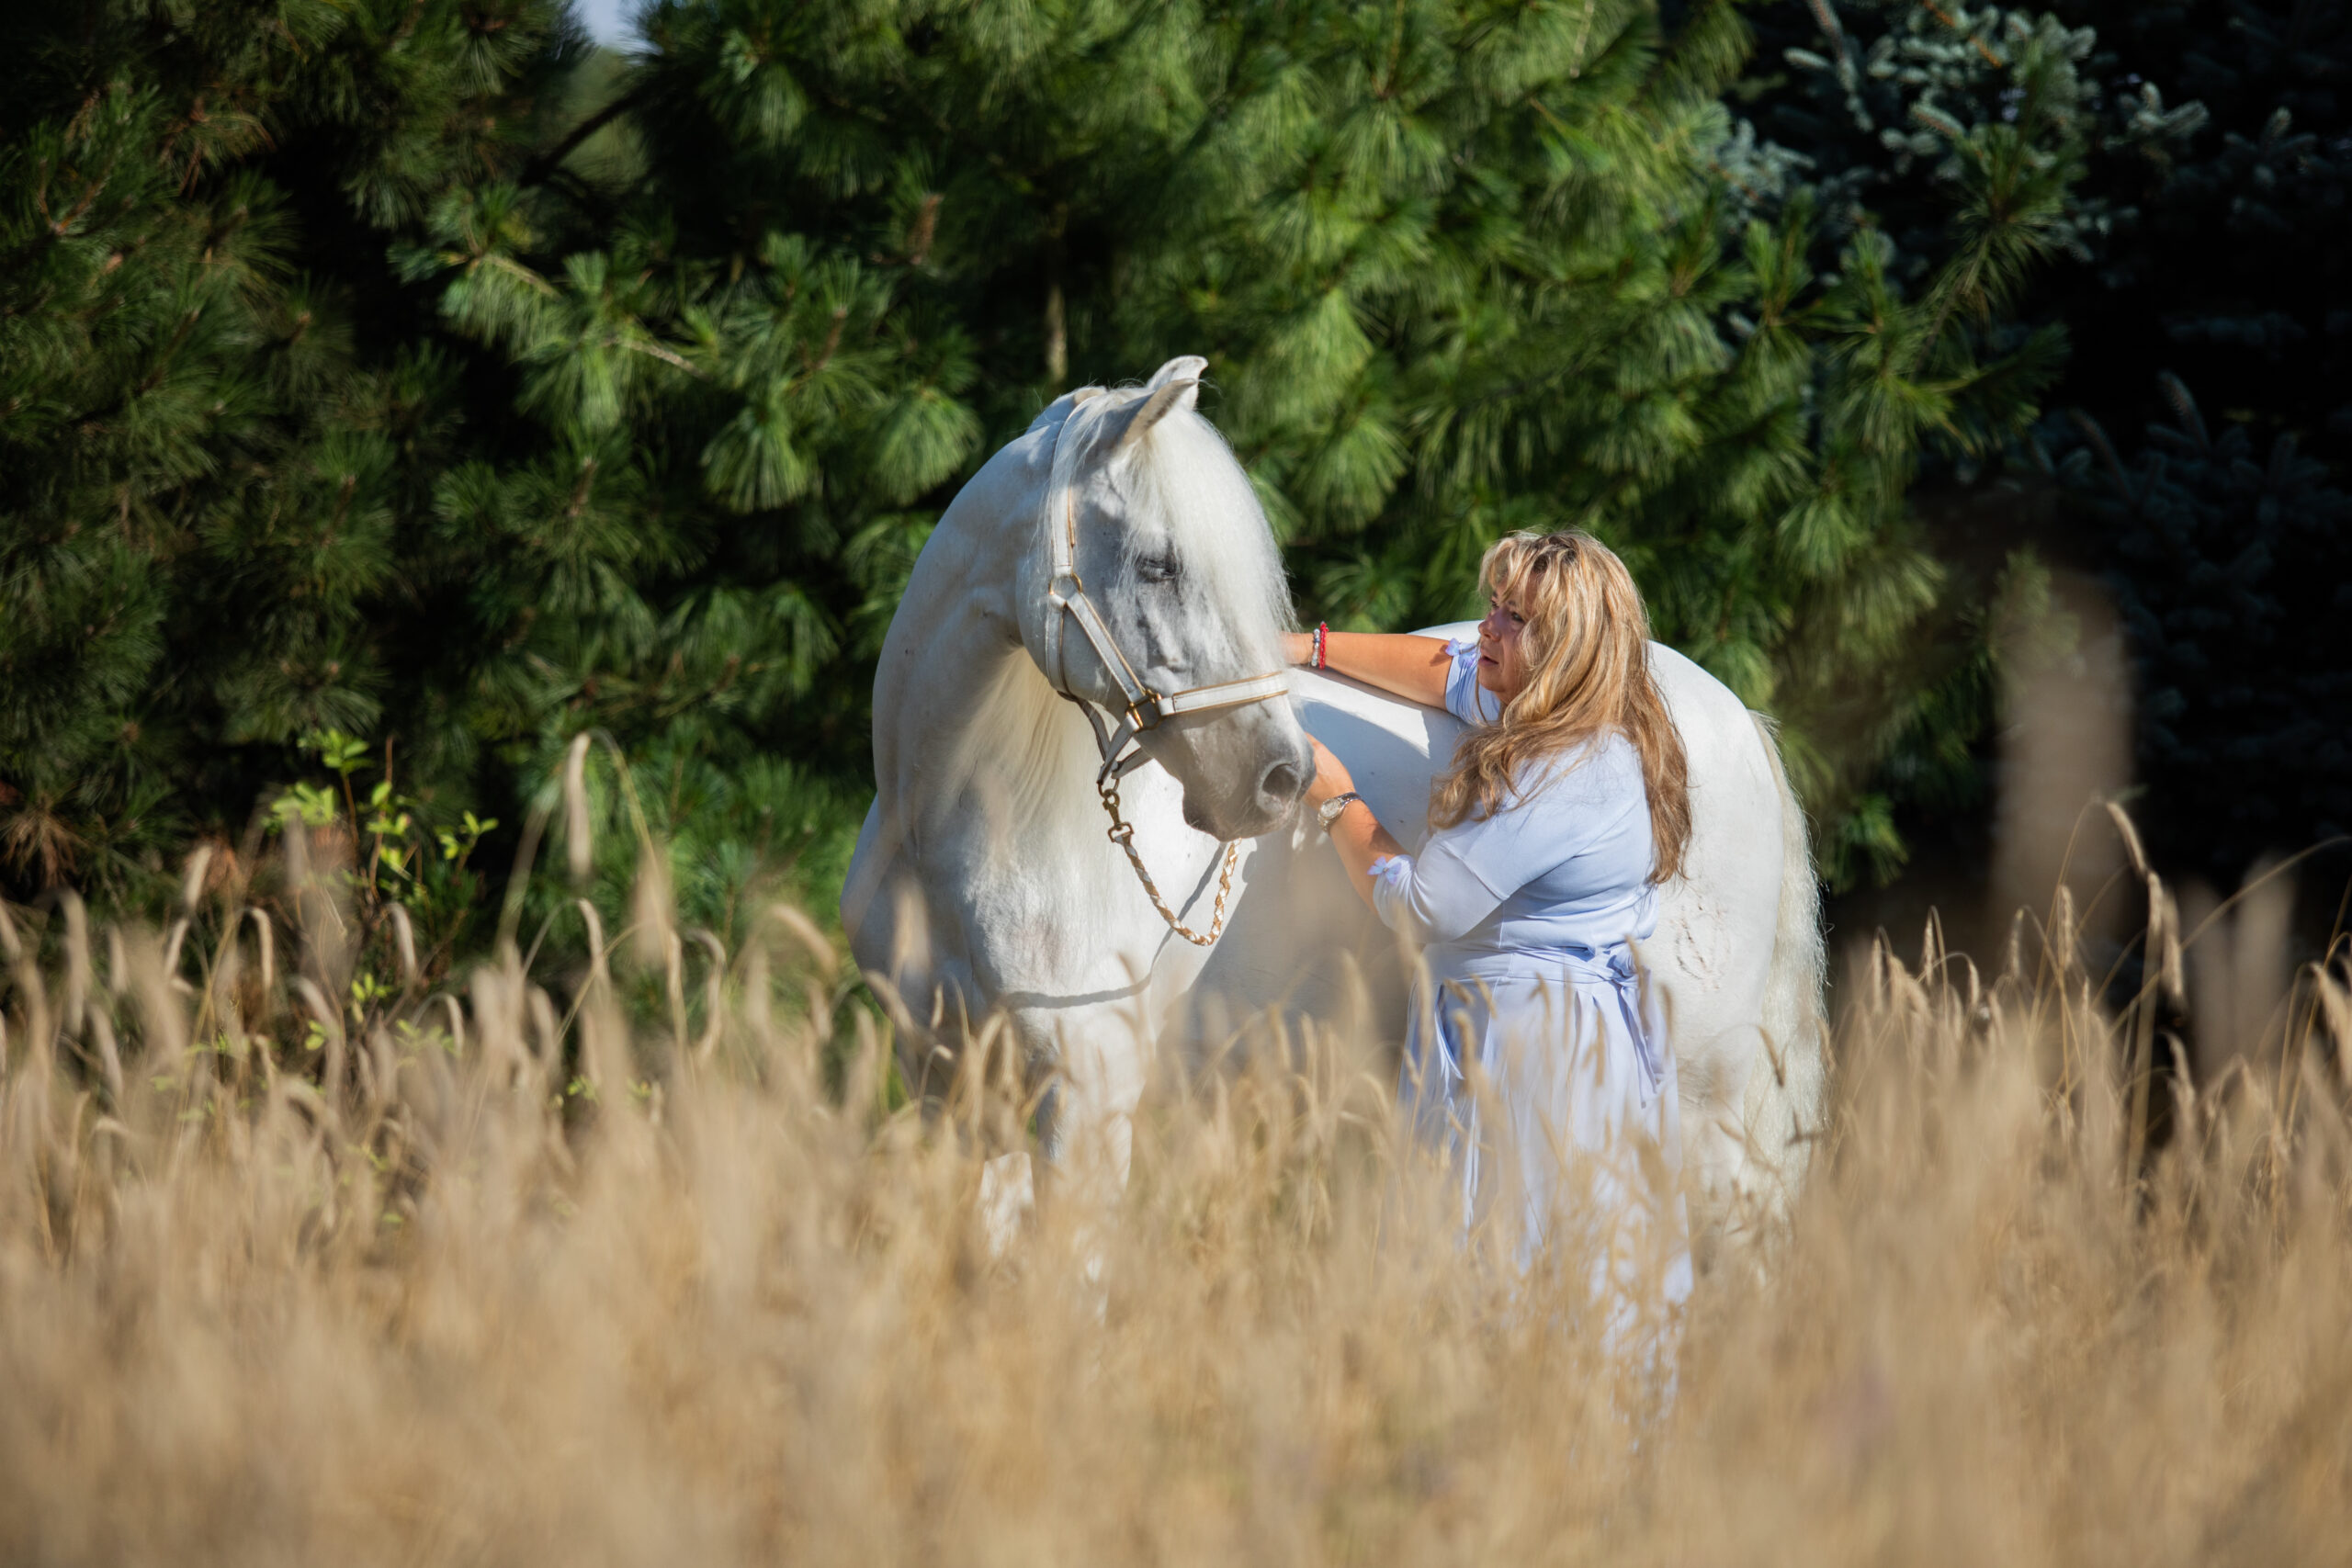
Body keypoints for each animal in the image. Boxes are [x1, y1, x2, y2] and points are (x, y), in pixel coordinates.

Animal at [841, 356, 1825, 1263]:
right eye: (1159, 564)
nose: (1280, 778)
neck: (964, 830)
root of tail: (1725, 717)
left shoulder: (1087, 1098)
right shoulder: (948, 1090)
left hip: (1698, 1110)